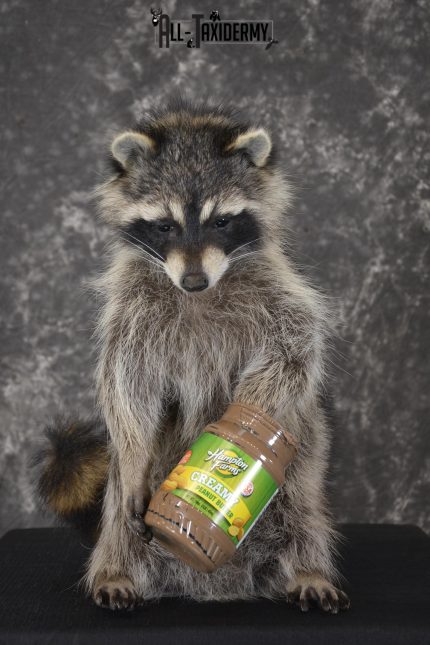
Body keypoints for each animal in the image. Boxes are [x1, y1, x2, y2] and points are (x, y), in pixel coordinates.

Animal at [37, 101, 350, 613]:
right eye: (165, 225)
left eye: (221, 221)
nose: (195, 281)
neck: (202, 293)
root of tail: (216, 584)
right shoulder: (132, 308)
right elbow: (126, 383)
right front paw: (136, 452)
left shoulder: (276, 287)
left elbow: (293, 351)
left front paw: (245, 418)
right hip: (129, 499)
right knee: (119, 514)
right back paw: (116, 569)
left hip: (302, 468)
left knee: (303, 514)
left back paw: (307, 569)